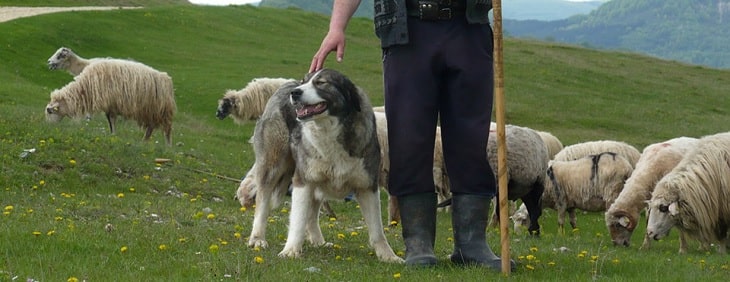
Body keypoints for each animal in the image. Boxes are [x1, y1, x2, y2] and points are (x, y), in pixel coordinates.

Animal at [45, 57, 176, 145]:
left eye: (50, 111)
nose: (48, 127)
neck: (85, 87)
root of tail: (167, 80)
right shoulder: (109, 106)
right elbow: (110, 122)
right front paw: (112, 134)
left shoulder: (112, 104)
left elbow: (112, 120)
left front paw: (113, 135)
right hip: (150, 111)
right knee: (150, 127)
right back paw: (144, 142)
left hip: (163, 111)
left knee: (167, 129)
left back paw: (168, 146)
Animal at [247, 69, 400, 264]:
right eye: (305, 82)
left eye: (321, 83)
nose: (295, 93)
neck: (329, 130)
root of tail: (285, 85)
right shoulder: (303, 181)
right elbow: (298, 220)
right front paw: (291, 250)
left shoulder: (367, 187)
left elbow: (377, 229)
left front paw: (388, 256)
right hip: (273, 166)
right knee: (262, 202)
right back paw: (257, 239)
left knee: (312, 214)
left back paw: (318, 241)